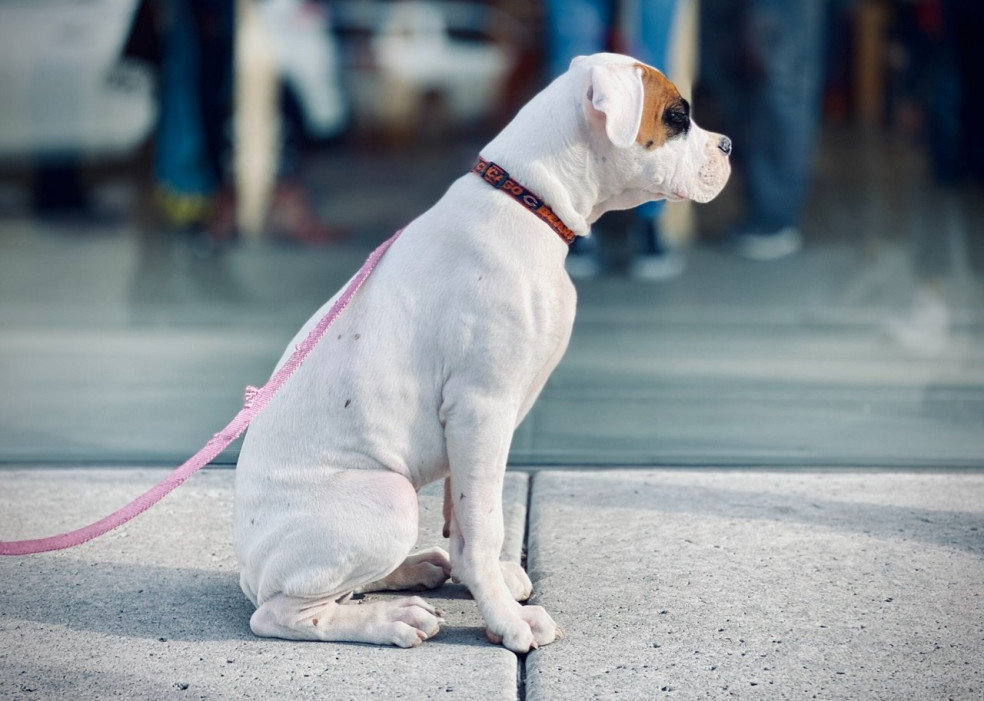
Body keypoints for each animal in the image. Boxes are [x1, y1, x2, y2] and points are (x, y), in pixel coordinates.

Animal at [233, 53, 732, 652]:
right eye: (678, 116)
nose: (729, 145)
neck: (529, 201)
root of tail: (248, 567)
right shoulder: (482, 409)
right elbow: (486, 520)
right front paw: (507, 620)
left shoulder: (473, 427)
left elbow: (467, 520)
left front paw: (487, 583)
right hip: (388, 497)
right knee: (286, 612)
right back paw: (391, 619)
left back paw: (414, 568)